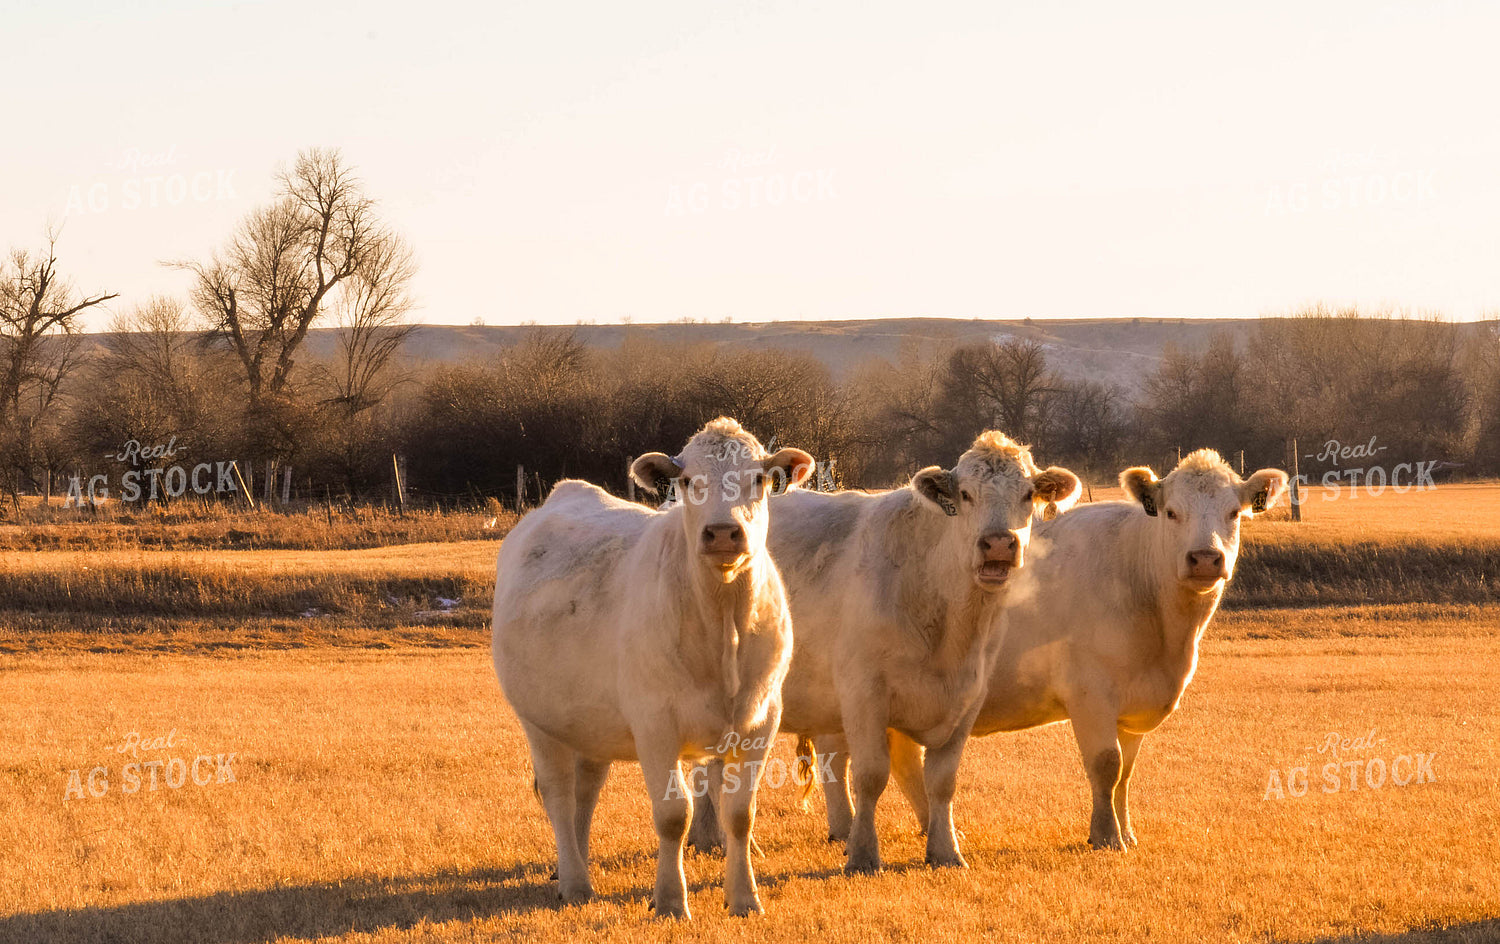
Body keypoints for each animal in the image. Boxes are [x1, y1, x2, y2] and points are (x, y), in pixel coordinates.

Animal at [490, 417, 814, 917]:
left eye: (758, 479)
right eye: (687, 481)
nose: (723, 532)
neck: (723, 625)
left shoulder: (762, 719)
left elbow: (740, 813)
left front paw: (744, 897)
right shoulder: (655, 723)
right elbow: (673, 815)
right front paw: (670, 901)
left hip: (588, 723)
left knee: (585, 793)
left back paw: (571, 866)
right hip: (539, 721)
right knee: (559, 794)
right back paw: (575, 882)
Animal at [688, 432, 1081, 873]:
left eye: (1028, 494)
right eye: (965, 494)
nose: (998, 543)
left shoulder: (968, 696)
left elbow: (941, 781)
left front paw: (946, 850)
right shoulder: (864, 693)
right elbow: (871, 776)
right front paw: (862, 853)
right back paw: (727, 842)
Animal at [810, 449, 1287, 851]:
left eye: (1234, 513)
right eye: (1172, 512)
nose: (1205, 558)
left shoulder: (1135, 705)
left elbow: (1126, 774)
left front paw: (1127, 832)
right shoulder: (1091, 693)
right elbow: (1106, 764)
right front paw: (1106, 837)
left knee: (905, 759)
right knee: (836, 755)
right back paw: (846, 829)